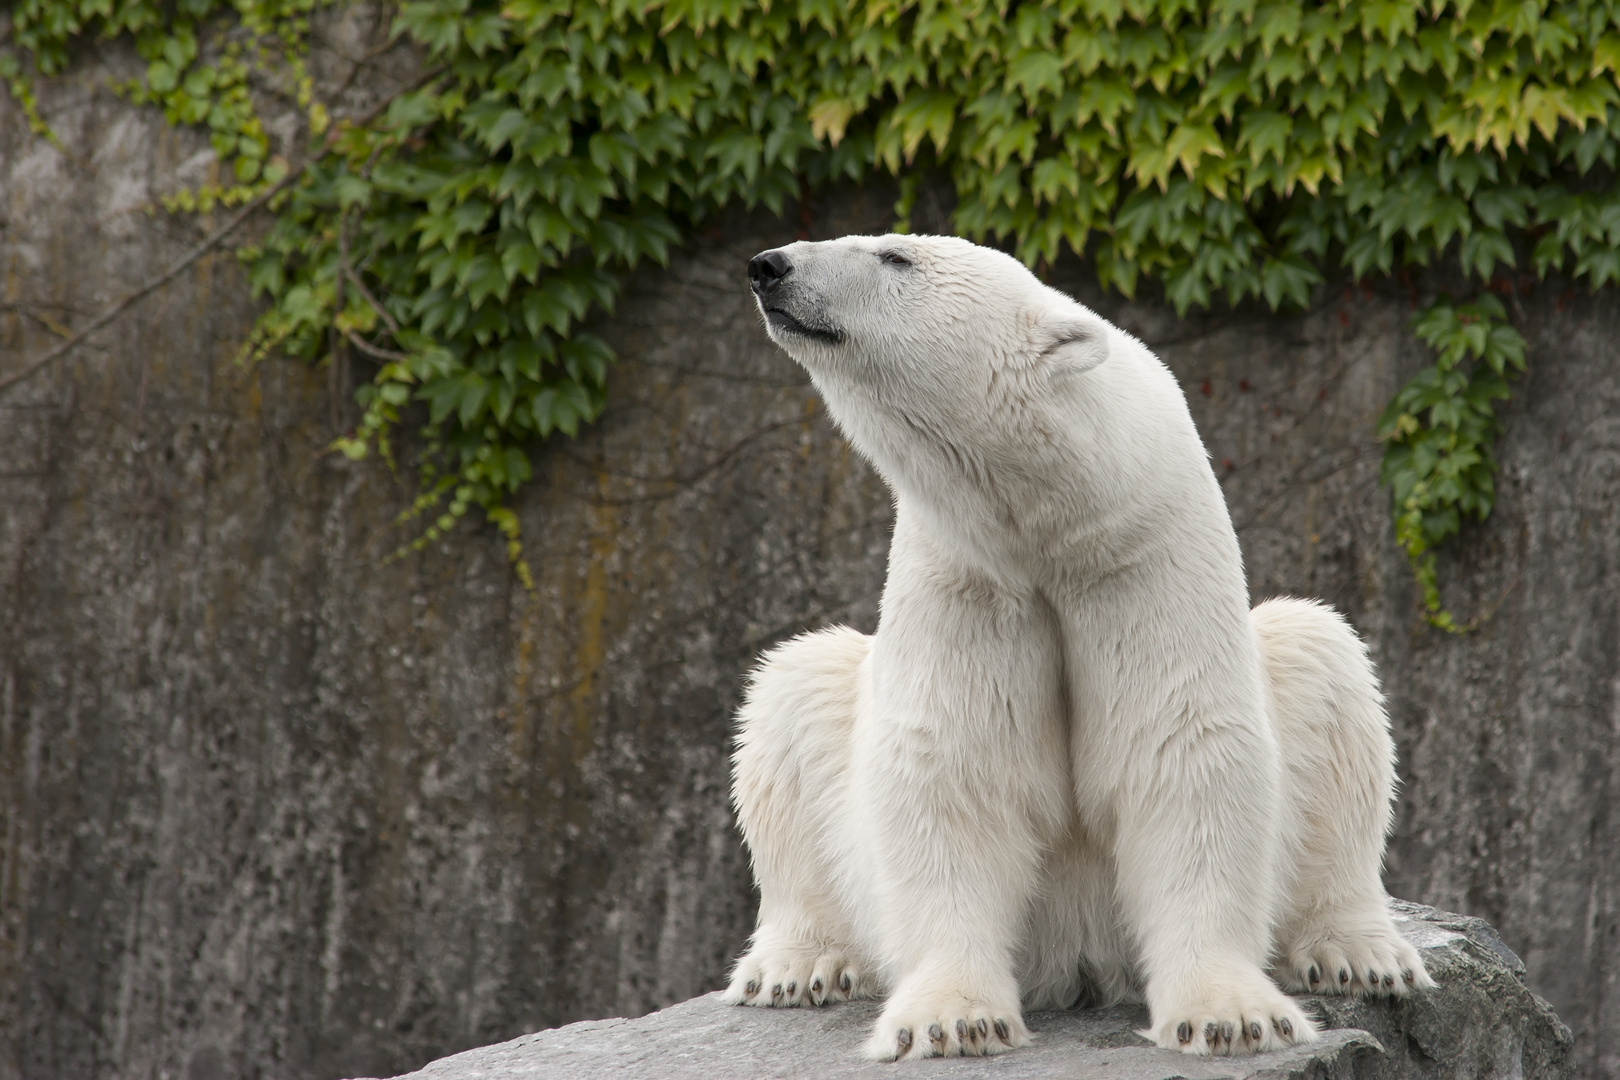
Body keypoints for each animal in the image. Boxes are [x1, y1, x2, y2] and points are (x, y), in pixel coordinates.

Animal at [729, 233, 1438, 1062]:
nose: (769, 266)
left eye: (895, 257)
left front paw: (1229, 1017)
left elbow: (1183, 747)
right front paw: (955, 1020)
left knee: (1324, 657)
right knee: (793, 688)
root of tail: (1076, 960)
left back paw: (1362, 952)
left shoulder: (1144, 554)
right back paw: (798, 966)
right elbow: (953, 767)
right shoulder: (969, 576)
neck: (1052, 521)